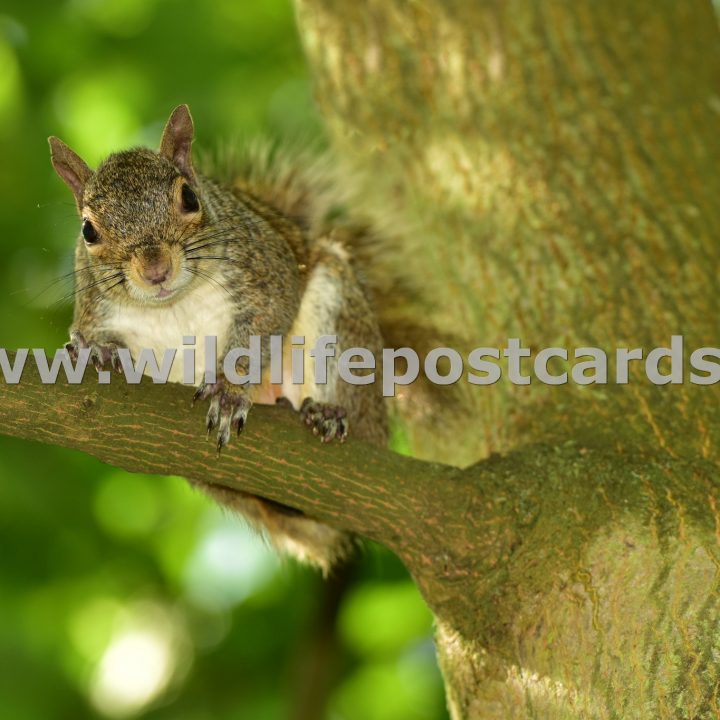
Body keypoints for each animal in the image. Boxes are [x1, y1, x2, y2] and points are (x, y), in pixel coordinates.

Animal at [47, 104, 388, 572]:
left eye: (189, 198)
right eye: (88, 231)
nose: (155, 269)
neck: (172, 304)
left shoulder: (266, 271)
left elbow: (265, 321)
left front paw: (229, 390)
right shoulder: (93, 309)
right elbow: (90, 337)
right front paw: (95, 351)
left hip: (341, 321)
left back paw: (326, 414)